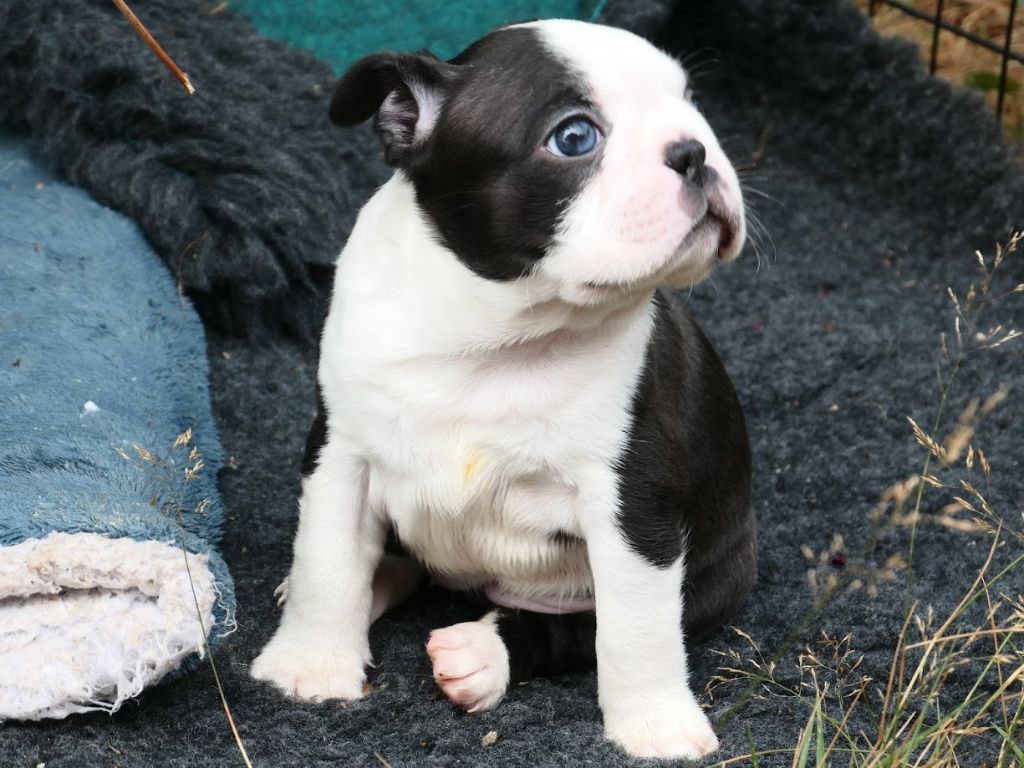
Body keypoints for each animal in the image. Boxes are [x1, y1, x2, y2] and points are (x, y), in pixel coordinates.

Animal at [251, 19, 755, 760]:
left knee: (577, 630)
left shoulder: (633, 501)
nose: (695, 150)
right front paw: (309, 667)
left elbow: (633, 627)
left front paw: (655, 724)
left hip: (716, 576)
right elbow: (328, 558)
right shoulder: (341, 450)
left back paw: (481, 654)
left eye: (690, 104)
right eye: (575, 138)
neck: (496, 335)